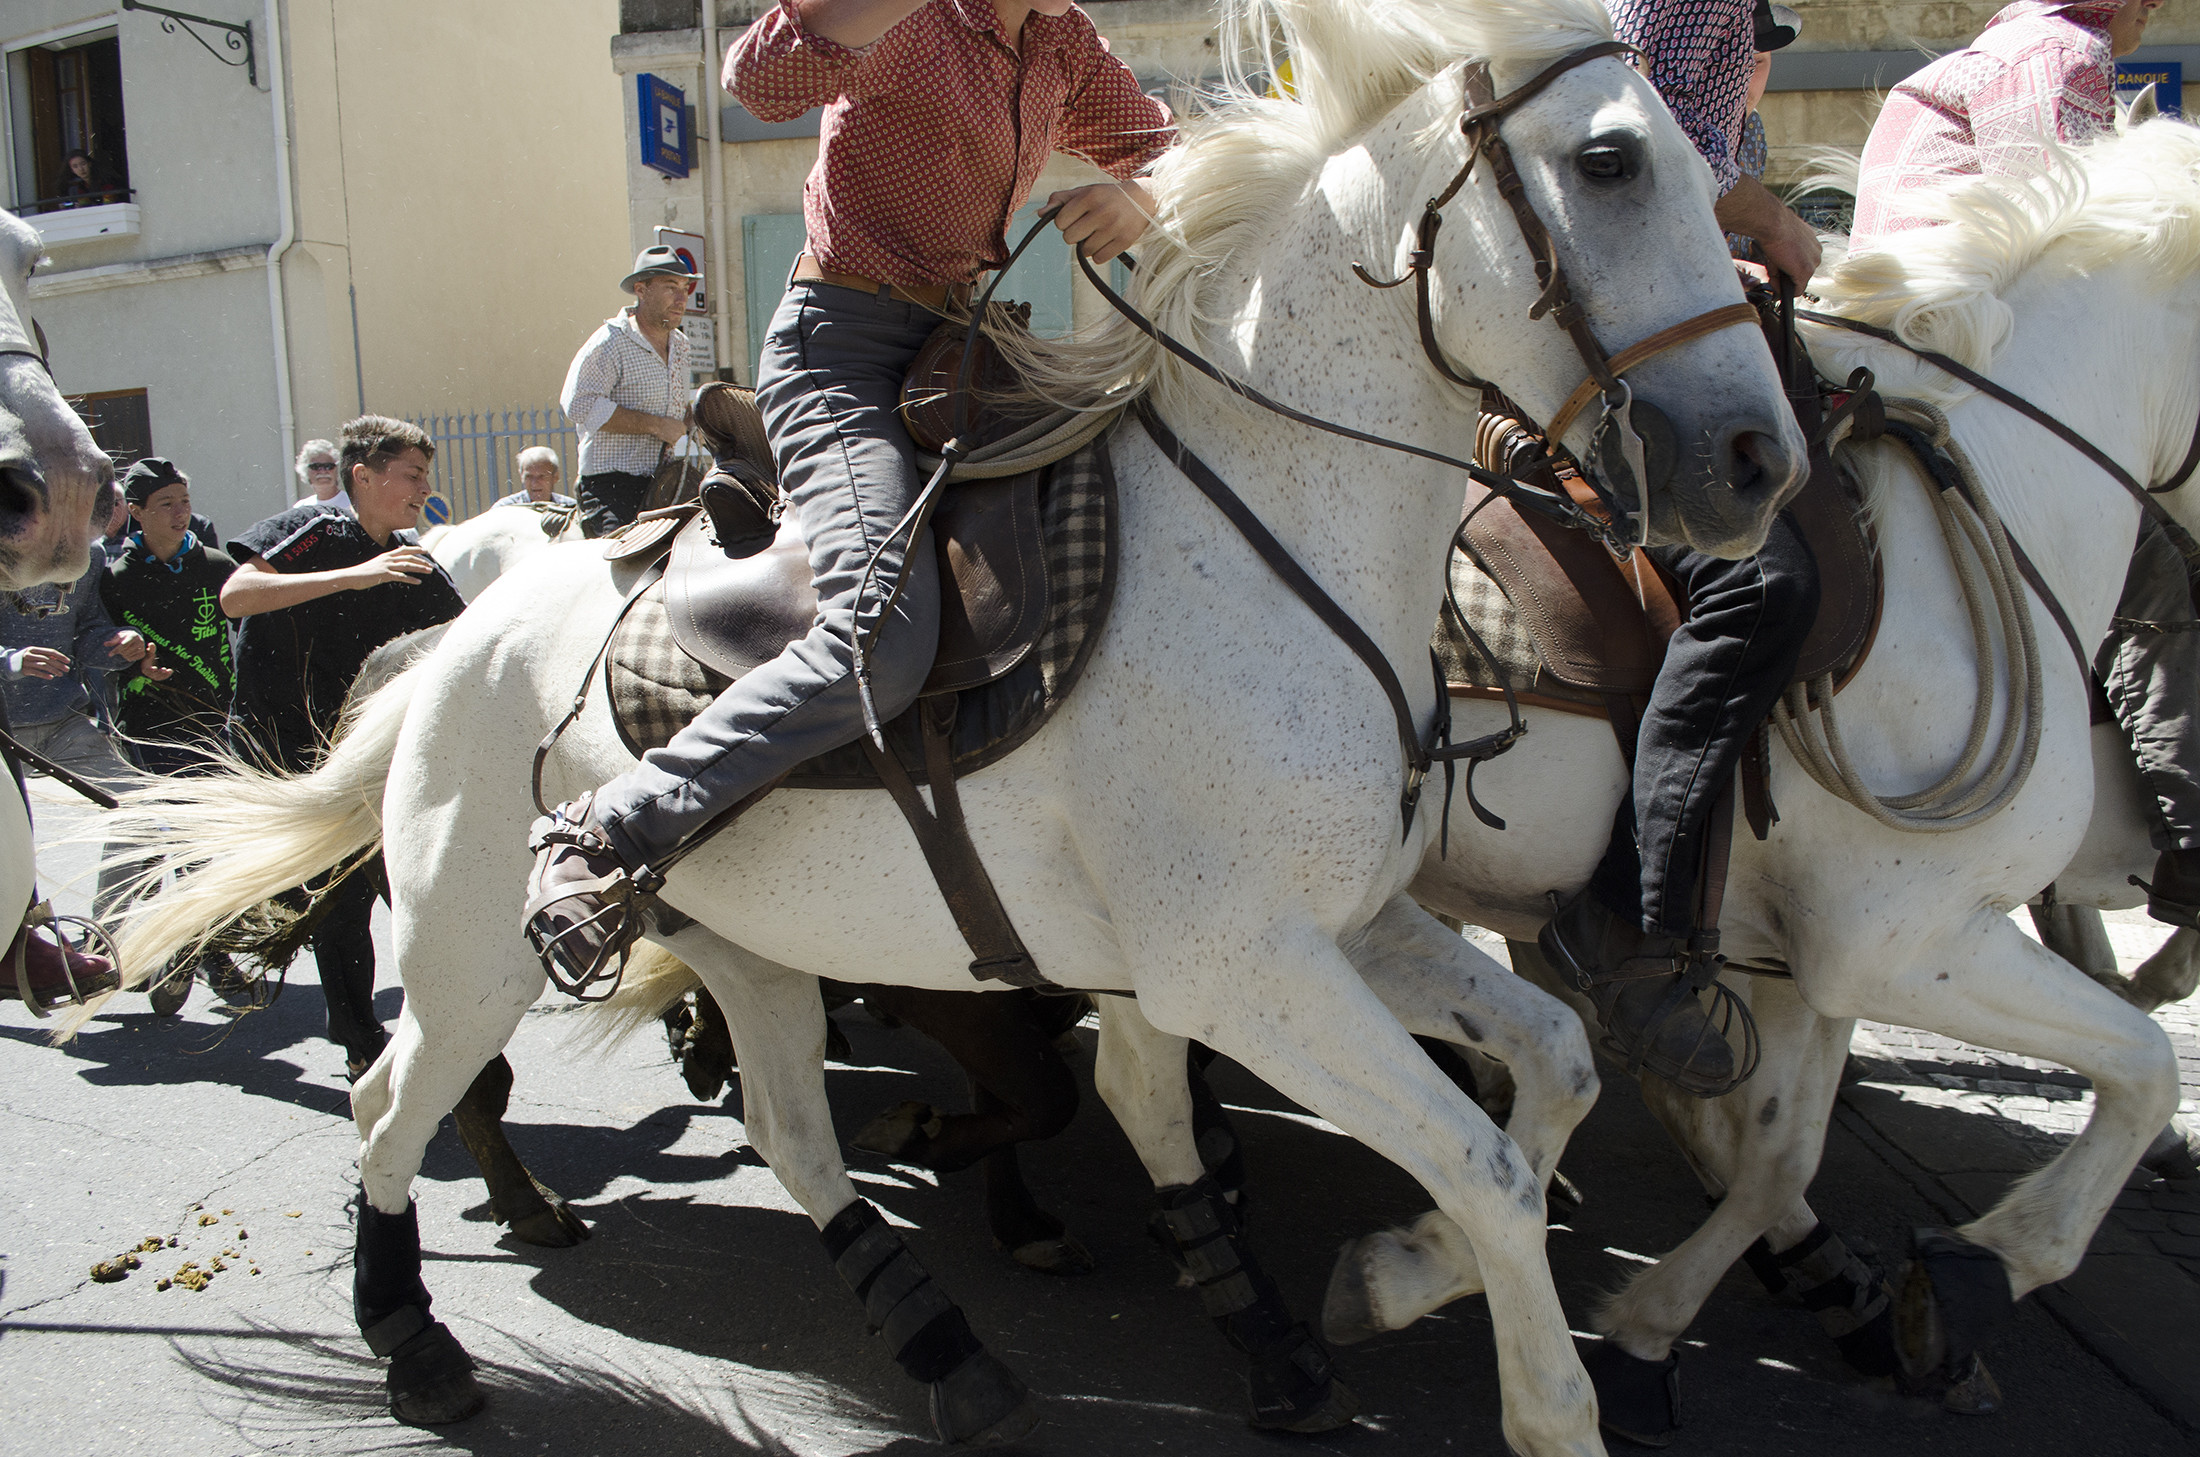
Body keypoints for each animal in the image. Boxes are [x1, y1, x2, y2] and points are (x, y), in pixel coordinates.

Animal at [90, 2, 1804, 1452]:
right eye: (1609, 159)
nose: (1755, 459)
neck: (1270, 544)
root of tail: (458, 621)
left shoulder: (1350, 926)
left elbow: (1556, 1074)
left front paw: (1388, 1275)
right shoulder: (1241, 969)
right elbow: (1488, 1163)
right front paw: (1538, 1390)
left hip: (746, 940)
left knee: (788, 1130)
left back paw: (946, 1352)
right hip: (463, 938)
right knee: (394, 1097)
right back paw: (415, 1335)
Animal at [1320, 119, 2200, 1443]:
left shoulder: (1808, 956)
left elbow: (1778, 1152)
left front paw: (1640, 1322)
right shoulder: (1910, 941)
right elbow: (2143, 1069)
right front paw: (1986, 1262)